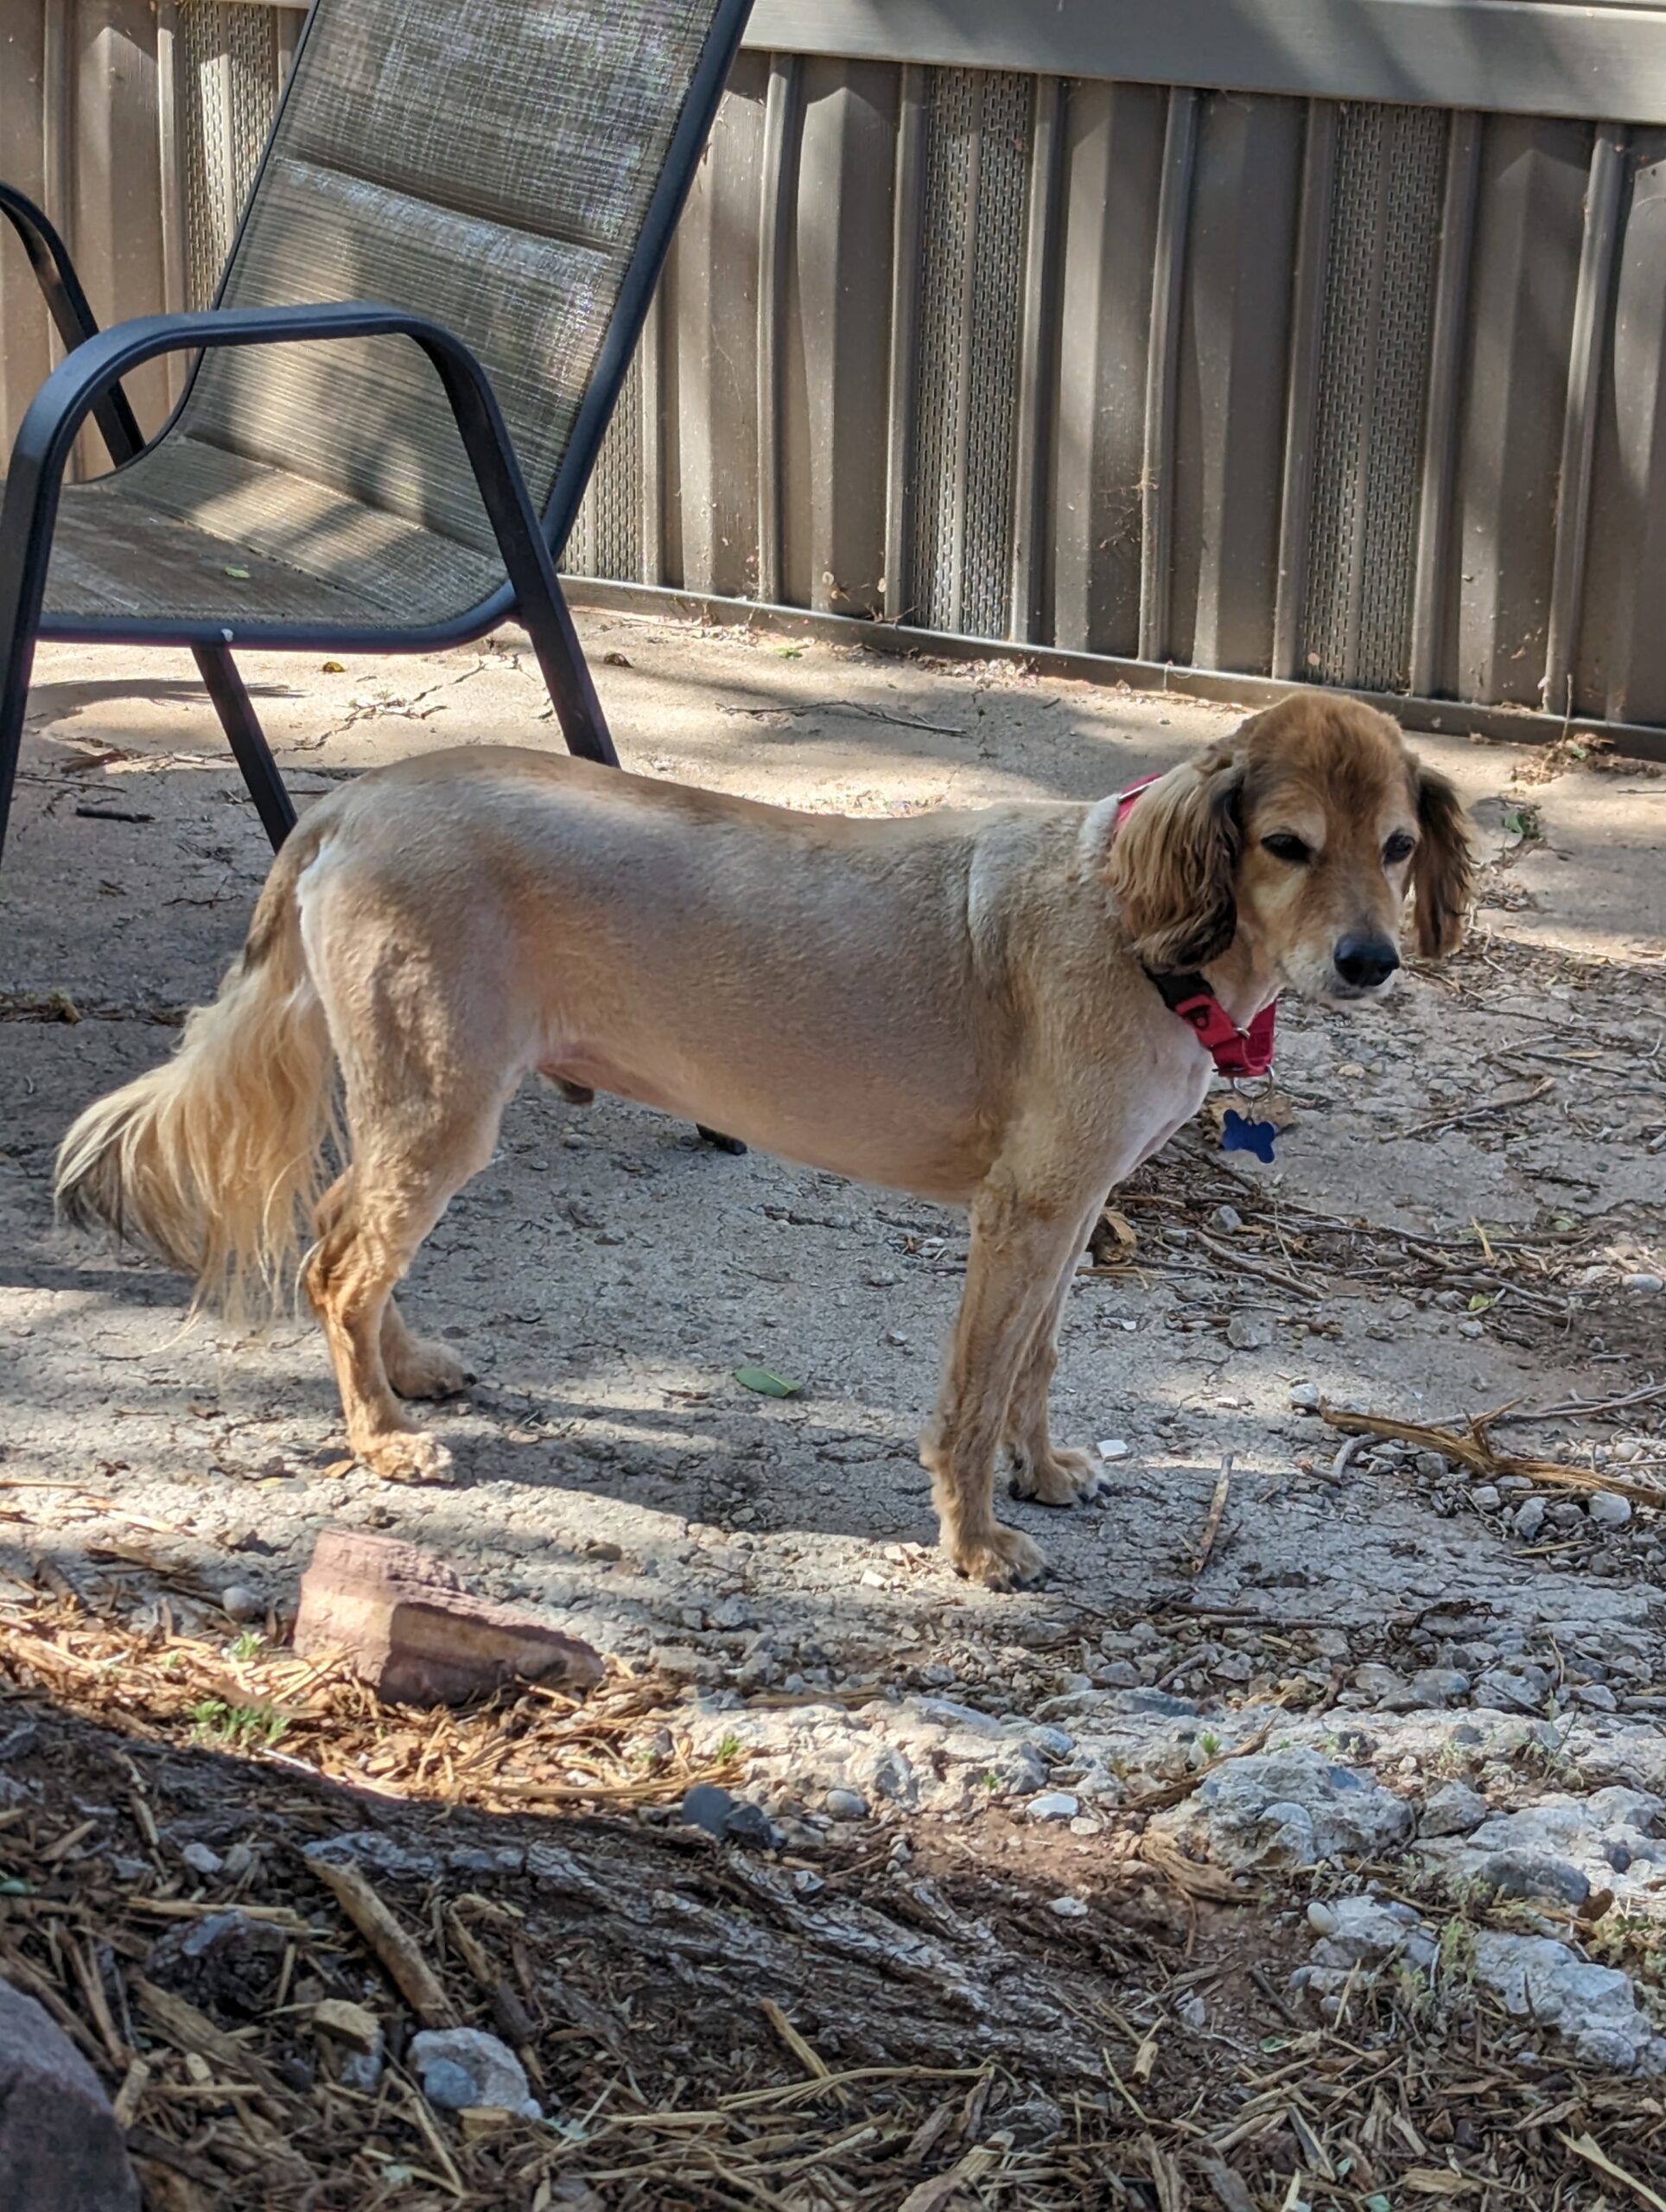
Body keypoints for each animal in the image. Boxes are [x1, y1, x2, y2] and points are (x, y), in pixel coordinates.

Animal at [55, 698, 1469, 1583]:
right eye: (1285, 844)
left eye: (1397, 845)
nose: (1371, 961)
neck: (1140, 923)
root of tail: (353, 801)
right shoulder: (1021, 1212)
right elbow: (970, 1393)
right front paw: (972, 1543)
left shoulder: (1067, 1209)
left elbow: (1035, 1361)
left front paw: (1042, 1468)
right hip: (442, 1101)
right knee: (334, 1260)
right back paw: (378, 1437)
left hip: (428, 1105)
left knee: (355, 1246)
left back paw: (404, 1374)